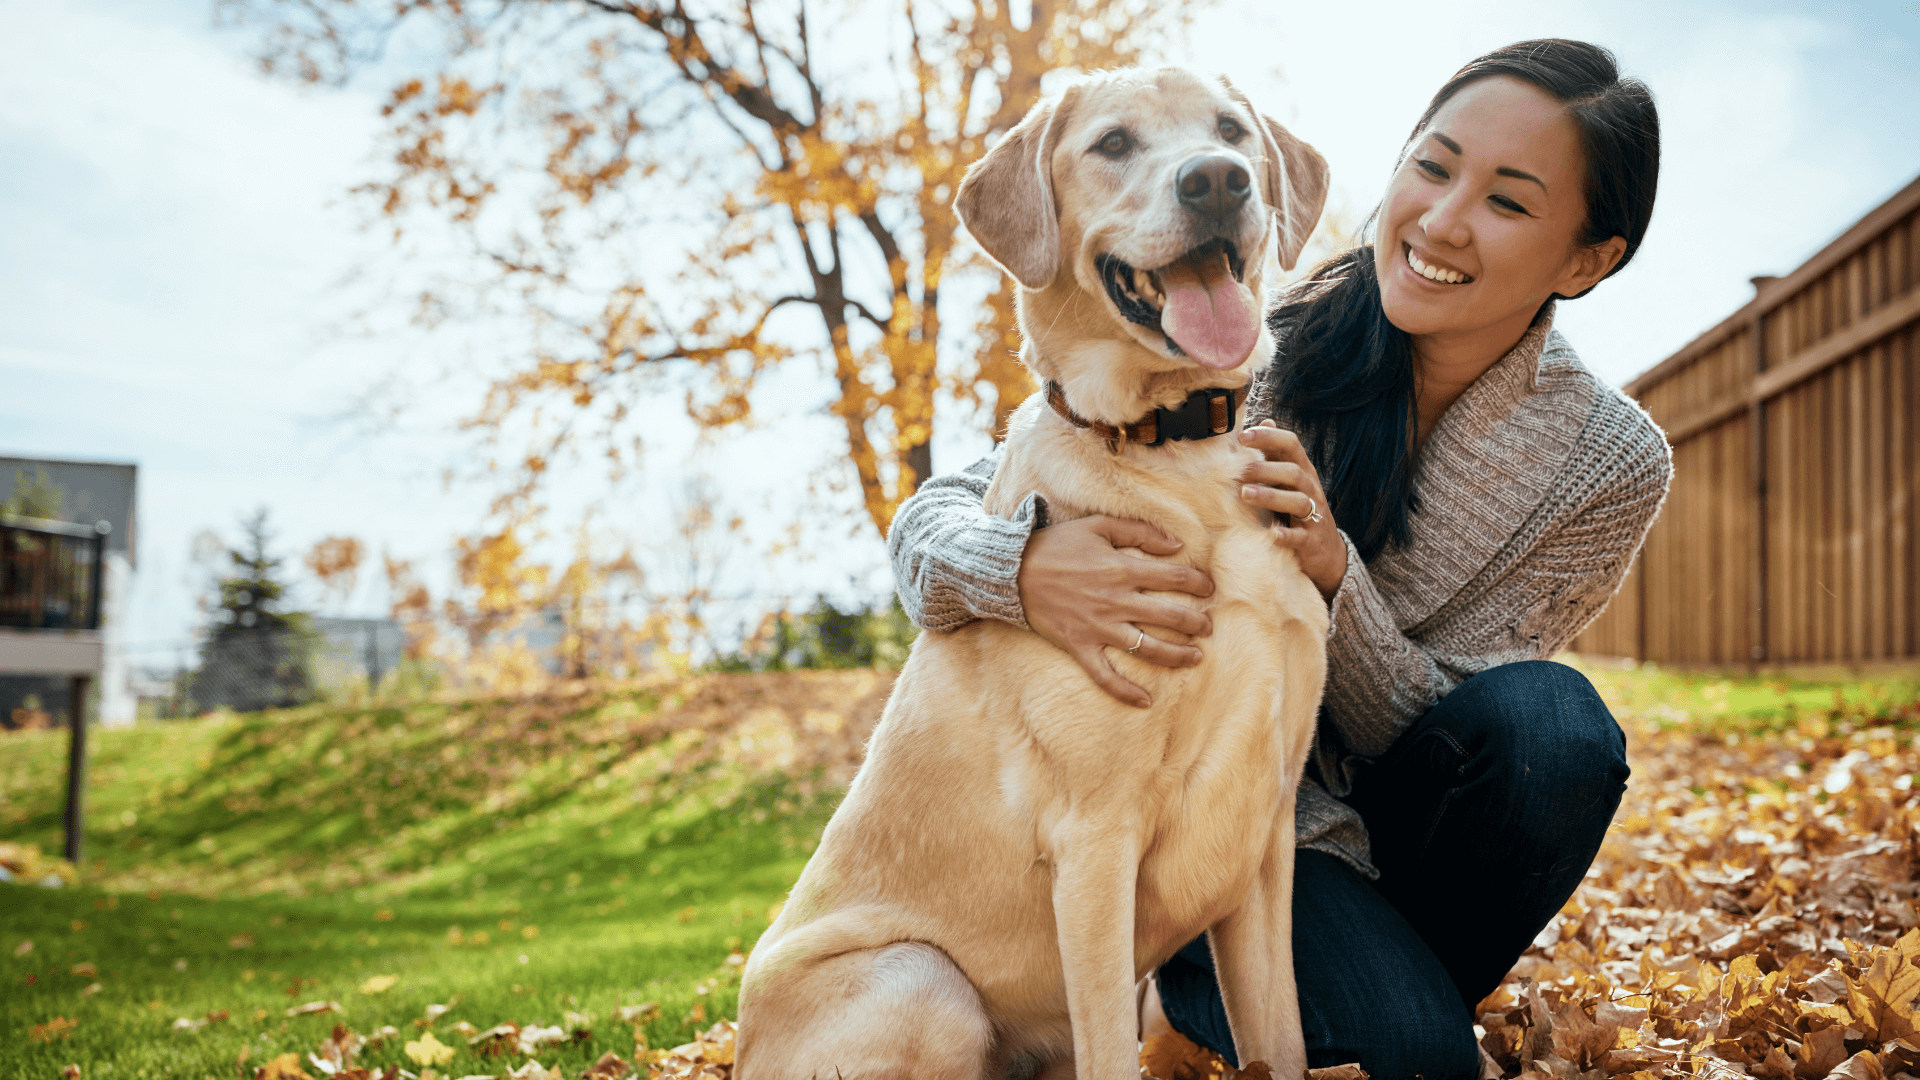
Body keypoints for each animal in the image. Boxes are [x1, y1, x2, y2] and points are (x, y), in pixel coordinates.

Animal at [737, 69, 1336, 1076]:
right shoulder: (1094, 839)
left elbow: (1283, 1040)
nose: (1217, 181)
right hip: (923, 980)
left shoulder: (1264, 841)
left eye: (1231, 132)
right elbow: (1109, 1052)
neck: (1179, 450)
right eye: (1114, 144)